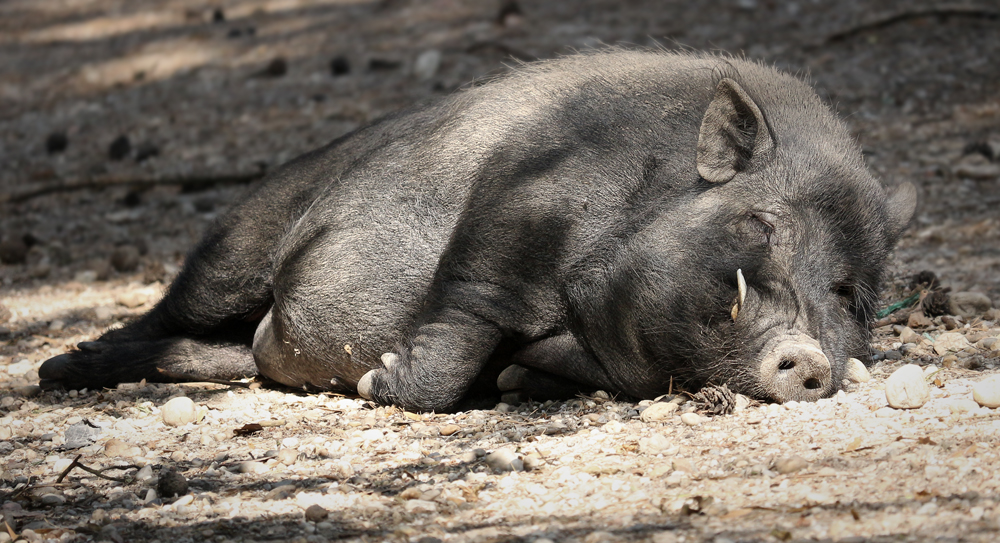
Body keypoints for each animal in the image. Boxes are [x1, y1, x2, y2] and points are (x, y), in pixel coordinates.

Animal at [37, 50, 916, 412]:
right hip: (238, 241)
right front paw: (374, 380)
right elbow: (467, 310)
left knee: (224, 356)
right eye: (762, 222)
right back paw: (55, 368)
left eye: (848, 293)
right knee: (165, 313)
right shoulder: (513, 211)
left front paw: (517, 380)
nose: (809, 357)